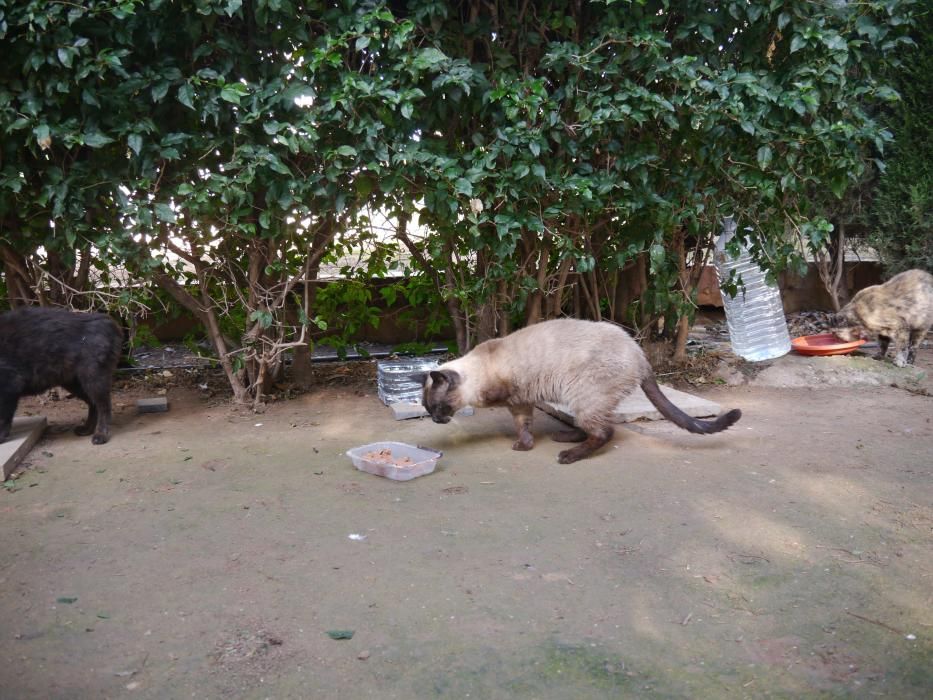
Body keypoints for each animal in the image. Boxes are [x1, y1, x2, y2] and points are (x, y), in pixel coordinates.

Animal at [418, 318, 740, 464]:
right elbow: (524, 426)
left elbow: (522, 426)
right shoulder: (522, 402)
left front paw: (523, 446)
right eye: (427, 409)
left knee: (604, 432)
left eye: (438, 407)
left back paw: (569, 454)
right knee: (590, 427)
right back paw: (564, 437)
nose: (435, 420)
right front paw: (526, 444)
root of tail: (639, 353)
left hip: (582, 396)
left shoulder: (518, 400)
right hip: (576, 399)